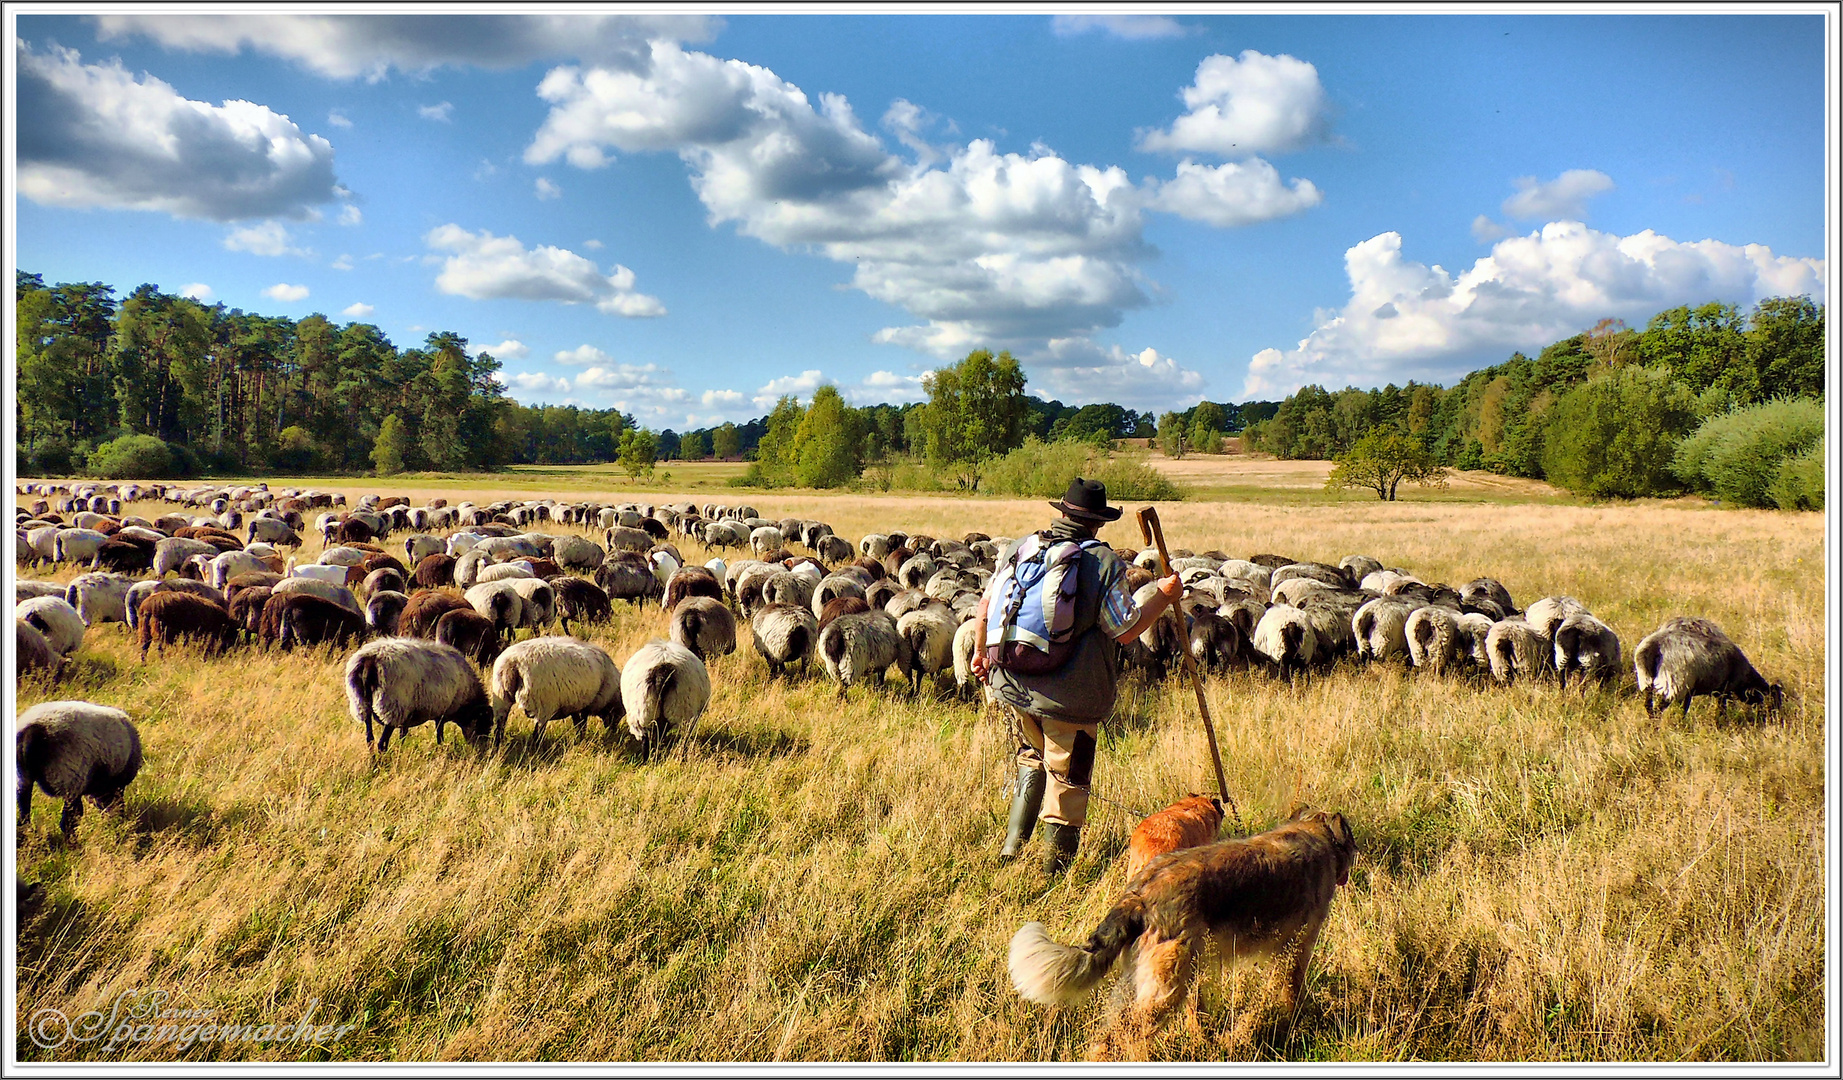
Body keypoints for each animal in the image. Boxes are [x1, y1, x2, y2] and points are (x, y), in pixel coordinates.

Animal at [15, 696, 141, 840]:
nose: (118, 822)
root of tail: (33, 731)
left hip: (23, 778)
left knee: (24, 816)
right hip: (70, 777)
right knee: (69, 820)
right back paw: (72, 842)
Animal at [344, 637, 493, 748]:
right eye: (483, 723)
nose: (482, 750)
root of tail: (372, 659)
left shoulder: (407, 718)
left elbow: (403, 736)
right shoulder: (441, 713)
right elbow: (439, 735)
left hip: (362, 703)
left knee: (370, 739)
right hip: (393, 707)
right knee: (382, 744)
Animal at [486, 633, 622, 744]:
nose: (613, 732)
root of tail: (513, 662)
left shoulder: (575, 703)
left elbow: (578, 723)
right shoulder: (585, 705)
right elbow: (581, 725)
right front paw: (581, 739)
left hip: (501, 696)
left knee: (499, 729)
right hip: (542, 705)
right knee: (537, 734)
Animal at [1009, 803, 1356, 1054]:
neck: (1313, 832)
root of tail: (1139, 894)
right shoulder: (1298, 948)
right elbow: (1292, 993)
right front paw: (1297, 1022)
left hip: (1149, 980)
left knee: (1106, 1039)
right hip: (1168, 985)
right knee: (1127, 1035)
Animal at [1636, 615, 1776, 715]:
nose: (1772, 721)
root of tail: (1652, 646)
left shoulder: (1691, 691)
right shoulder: (1724, 690)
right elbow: (1721, 710)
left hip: (1648, 683)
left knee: (1649, 707)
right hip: (1673, 685)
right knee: (1657, 710)